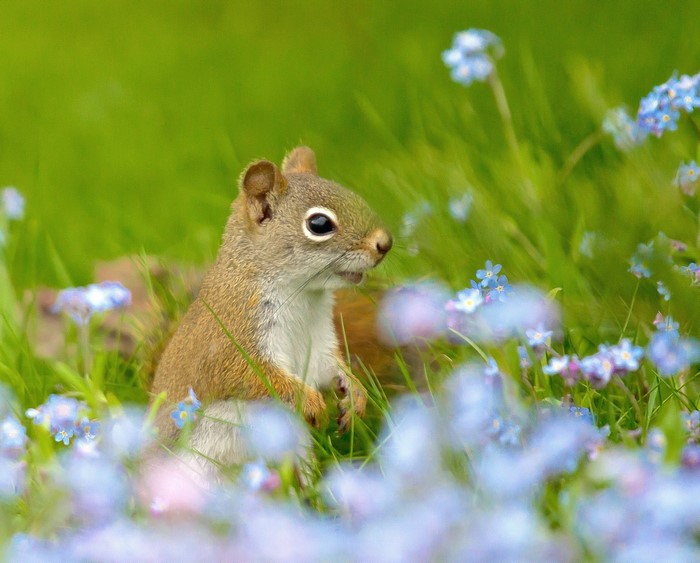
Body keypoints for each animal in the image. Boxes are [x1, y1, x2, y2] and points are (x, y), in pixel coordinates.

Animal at [150, 146, 392, 468]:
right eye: (319, 224)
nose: (385, 243)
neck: (303, 295)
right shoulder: (232, 336)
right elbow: (255, 376)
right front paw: (312, 404)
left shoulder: (318, 340)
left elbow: (328, 365)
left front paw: (354, 395)